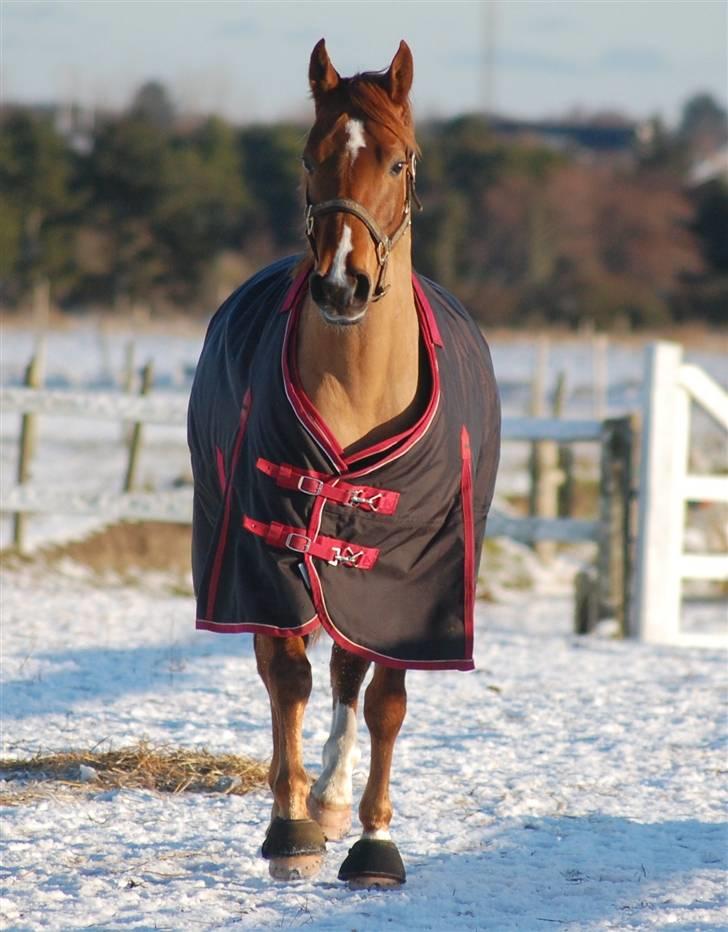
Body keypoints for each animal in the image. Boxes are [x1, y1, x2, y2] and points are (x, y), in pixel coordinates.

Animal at [189, 40, 500, 888]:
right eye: (309, 157)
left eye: (398, 161)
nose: (340, 283)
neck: (359, 386)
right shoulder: (263, 549)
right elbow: (287, 675)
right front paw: (291, 827)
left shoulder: (418, 580)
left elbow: (384, 694)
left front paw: (372, 840)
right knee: (297, 672)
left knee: (350, 675)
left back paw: (335, 800)